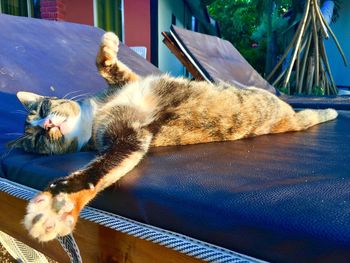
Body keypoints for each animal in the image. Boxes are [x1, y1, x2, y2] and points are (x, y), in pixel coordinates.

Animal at [8, 32, 336, 242]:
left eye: (42, 109)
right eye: (37, 139)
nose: (48, 124)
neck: (97, 113)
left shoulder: (128, 82)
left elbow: (105, 65)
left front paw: (109, 41)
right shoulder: (130, 138)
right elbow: (96, 172)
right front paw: (57, 205)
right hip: (295, 119)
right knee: (307, 116)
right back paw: (328, 110)